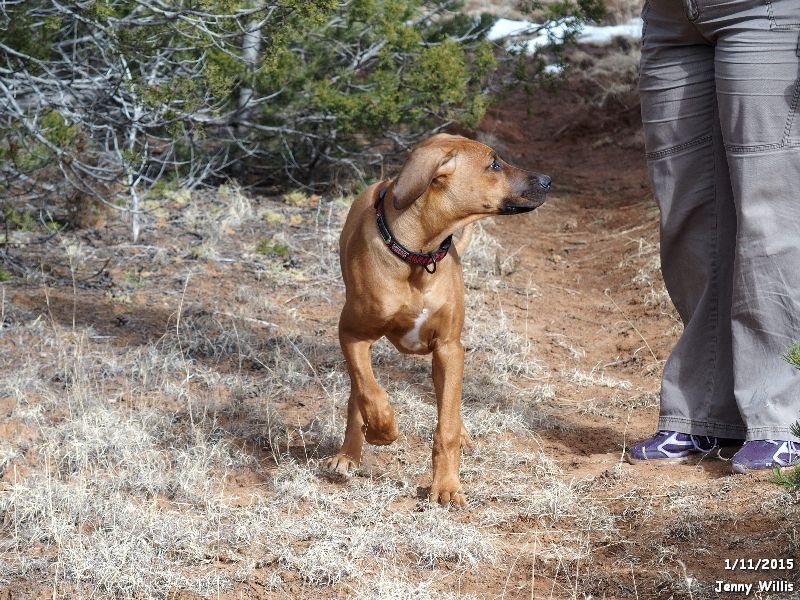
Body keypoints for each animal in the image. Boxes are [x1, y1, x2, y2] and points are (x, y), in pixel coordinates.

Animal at [324, 133, 550, 506]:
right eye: (494, 164)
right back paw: (349, 453)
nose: (548, 180)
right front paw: (383, 430)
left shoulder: (449, 348)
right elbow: (369, 391)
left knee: (449, 405)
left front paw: (446, 485)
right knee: (358, 391)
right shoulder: (352, 334)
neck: (418, 254)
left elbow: (446, 424)